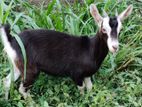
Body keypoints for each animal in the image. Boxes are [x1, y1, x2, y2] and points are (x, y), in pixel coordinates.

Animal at [0, 3, 133, 98]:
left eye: (120, 29)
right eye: (104, 29)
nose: (115, 47)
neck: (90, 49)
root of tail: (11, 40)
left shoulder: (87, 74)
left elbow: (90, 88)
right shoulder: (76, 74)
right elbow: (82, 89)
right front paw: (82, 101)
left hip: (17, 65)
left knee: (6, 81)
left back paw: (6, 100)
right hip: (30, 69)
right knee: (22, 89)